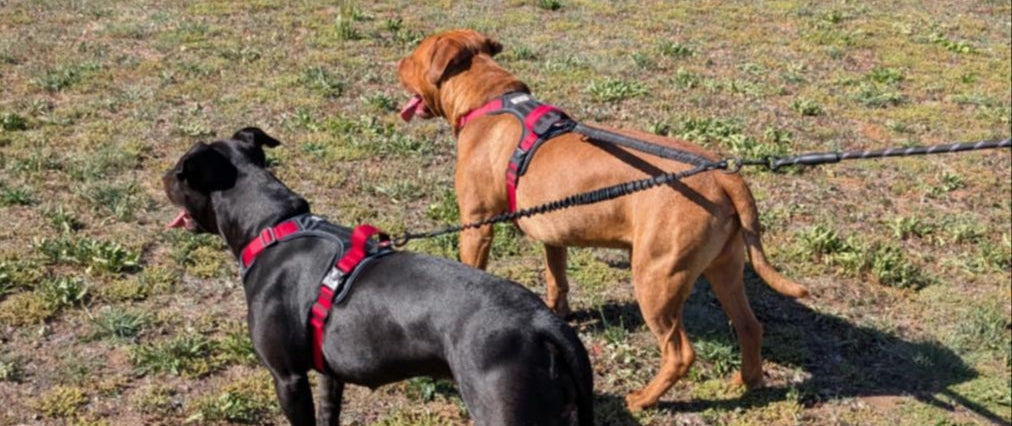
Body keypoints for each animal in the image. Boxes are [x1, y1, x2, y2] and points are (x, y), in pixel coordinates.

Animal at [161, 128, 591, 422]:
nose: (162, 175)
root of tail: (543, 322)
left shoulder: (288, 378)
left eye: (181, 172)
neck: (273, 226)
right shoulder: (328, 373)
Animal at [394, 29, 805, 408]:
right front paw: (558, 314)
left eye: (414, 56)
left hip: (656, 278)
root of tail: (722, 174)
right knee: (750, 326)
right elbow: (557, 279)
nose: (397, 63)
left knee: (679, 353)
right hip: (725, 268)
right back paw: (747, 382)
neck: (489, 100)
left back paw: (644, 399)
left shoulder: (476, 224)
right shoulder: (554, 233)